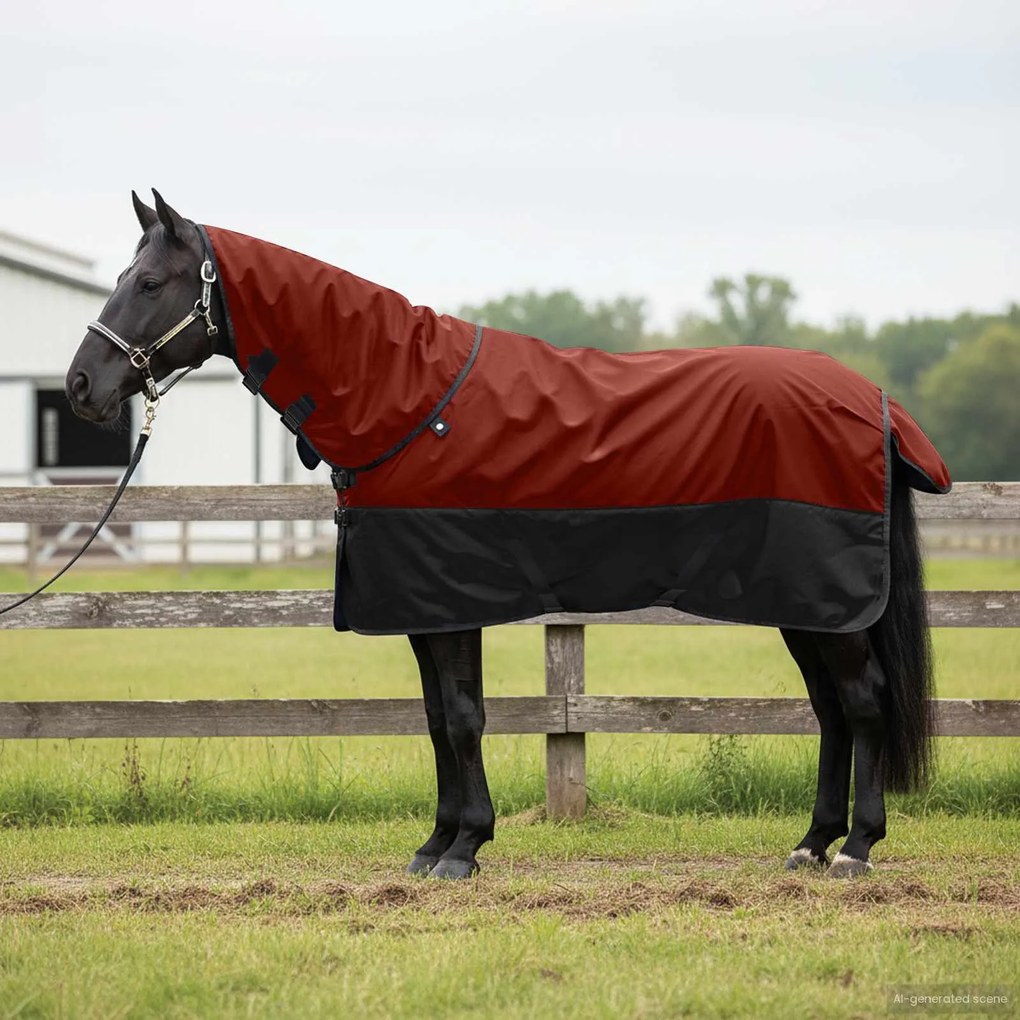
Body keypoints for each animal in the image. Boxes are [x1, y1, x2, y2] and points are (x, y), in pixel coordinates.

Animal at [65, 190, 950, 880]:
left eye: (149, 282)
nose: (80, 386)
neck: (408, 400)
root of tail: (872, 401)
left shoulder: (451, 601)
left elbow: (462, 717)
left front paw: (464, 850)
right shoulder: (422, 608)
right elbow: (435, 718)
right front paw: (436, 845)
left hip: (826, 602)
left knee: (862, 702)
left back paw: (856, 849)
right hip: (805, 606)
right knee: (831, 710)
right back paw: (810, 844)